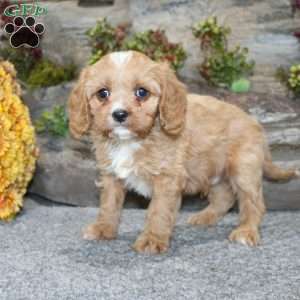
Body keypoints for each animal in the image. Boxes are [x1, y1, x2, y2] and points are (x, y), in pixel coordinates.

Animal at [67, 51, 298, 253]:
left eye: (142, 92)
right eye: (102, 93)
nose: (119, 114)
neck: (133, 140)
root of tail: (255, 123)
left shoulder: (167, 179)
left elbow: (158, 210)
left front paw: (152, 240)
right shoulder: (111, 175)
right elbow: (109, 204)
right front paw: (103, 229)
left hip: (244, 170)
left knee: (253, 202)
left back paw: (246, 231)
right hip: (213, 172)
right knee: (224, 197)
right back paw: (205, 218)